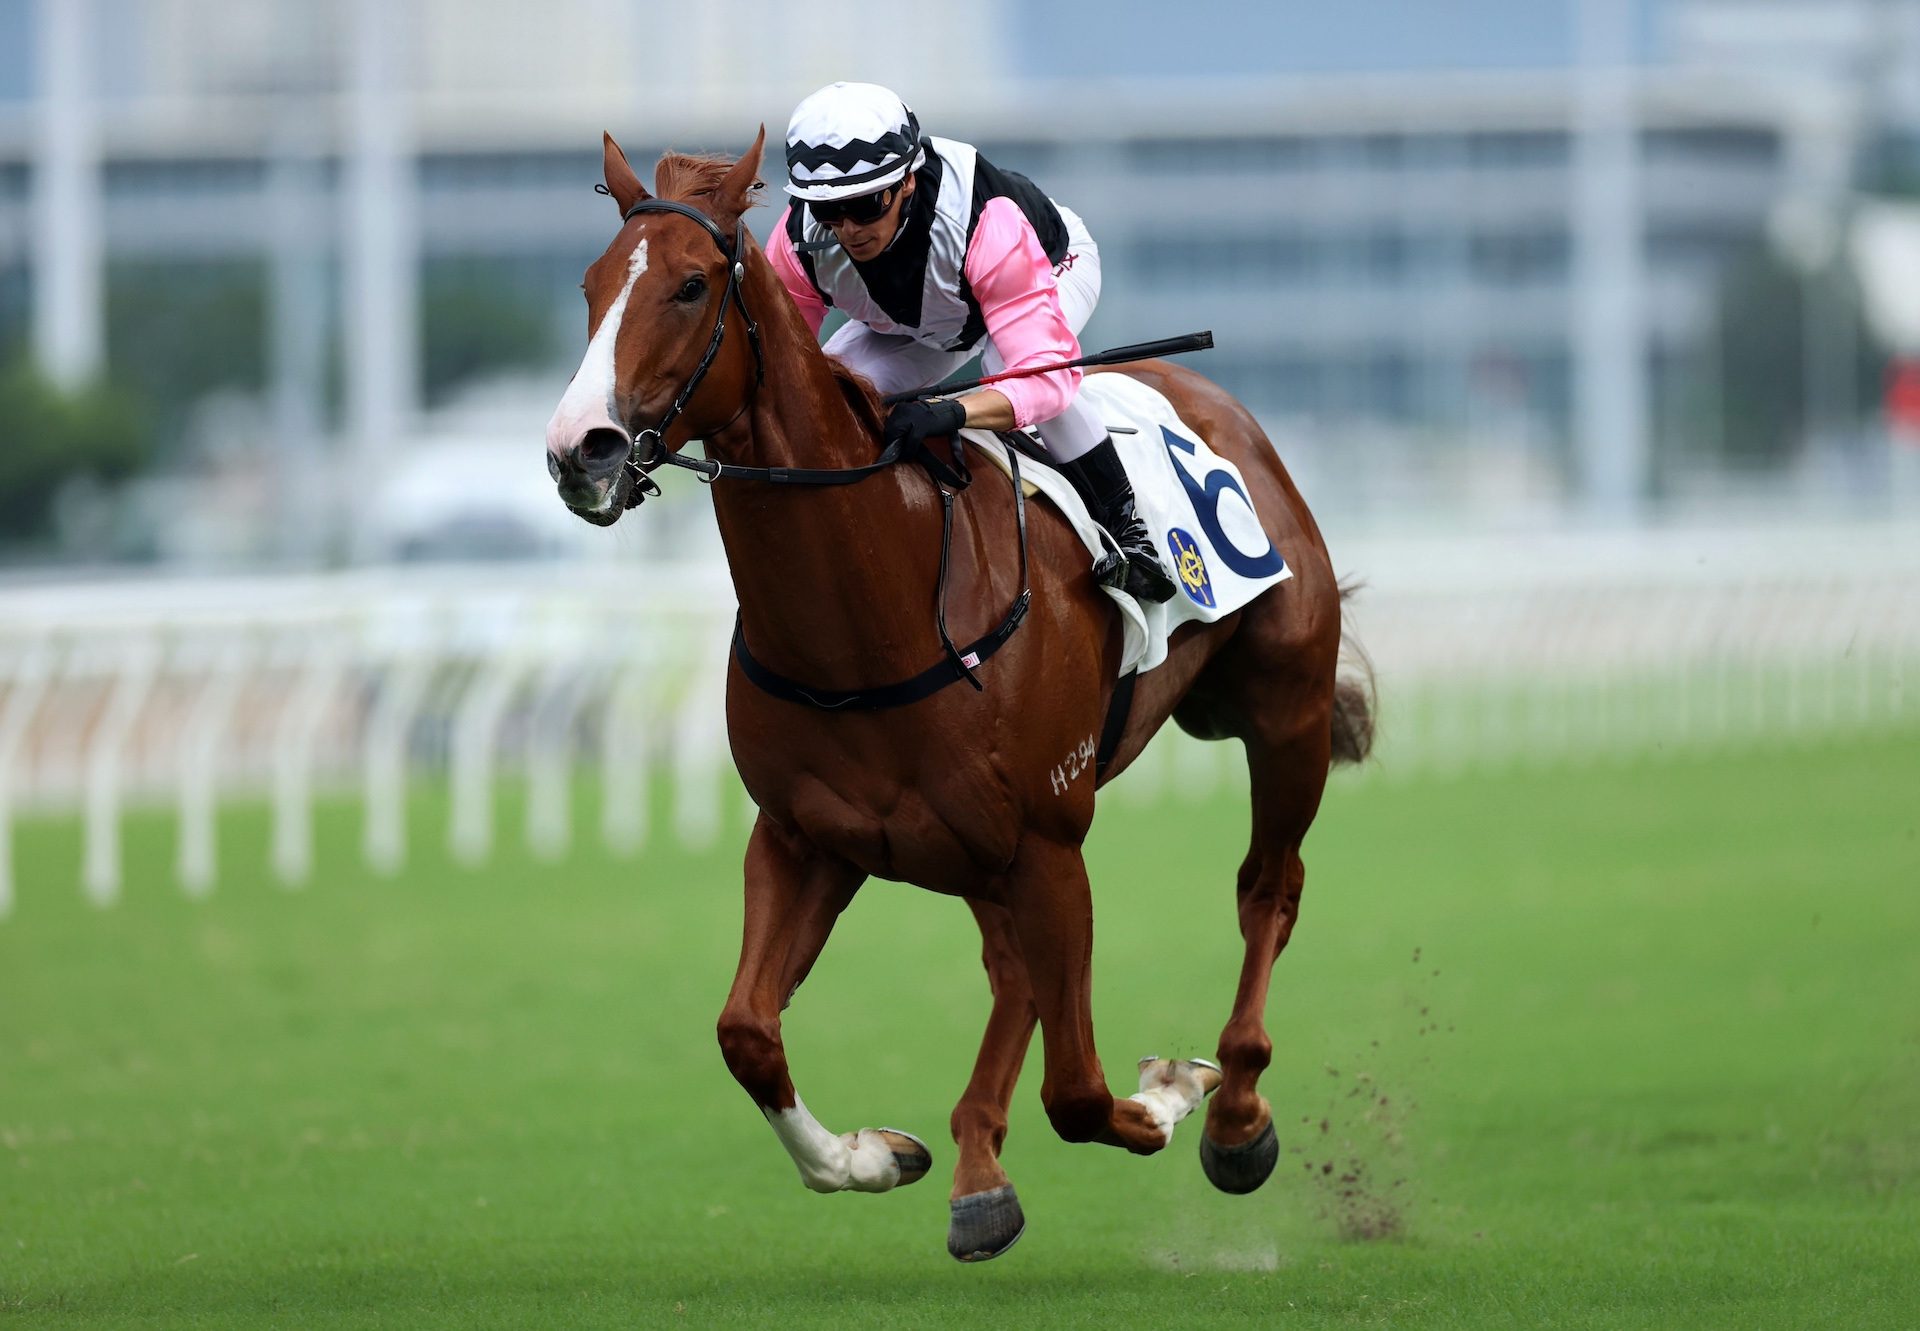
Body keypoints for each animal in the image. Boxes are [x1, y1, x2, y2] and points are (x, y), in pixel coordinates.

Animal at [549, 129, 1374, 1259]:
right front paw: (873, 1155)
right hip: (978, 848)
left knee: (1267, 889)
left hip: (1281, 714)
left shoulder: (1049, 840)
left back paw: (1237, 1109)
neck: (873, 614)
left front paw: (1171, 1087)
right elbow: (747, 1030)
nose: (578, 449)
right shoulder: (808, 836)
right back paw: (980, 1171)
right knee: (1012, 969)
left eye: (688, 285)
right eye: (591, 286)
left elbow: (1081, 1090)